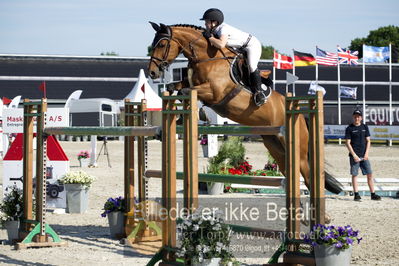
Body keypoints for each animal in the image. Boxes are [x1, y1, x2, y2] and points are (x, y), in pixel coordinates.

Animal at [148, 23, 344, 197]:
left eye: (162, 44)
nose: (152, 73)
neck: (207, 58)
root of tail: (301, 117)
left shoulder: (214, 92)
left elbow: (187, 91)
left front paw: (195, 115)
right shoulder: (192, 84)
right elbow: (176, 88)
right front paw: (177, 119)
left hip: (298, 148)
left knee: (307, 174)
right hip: (276, 146)